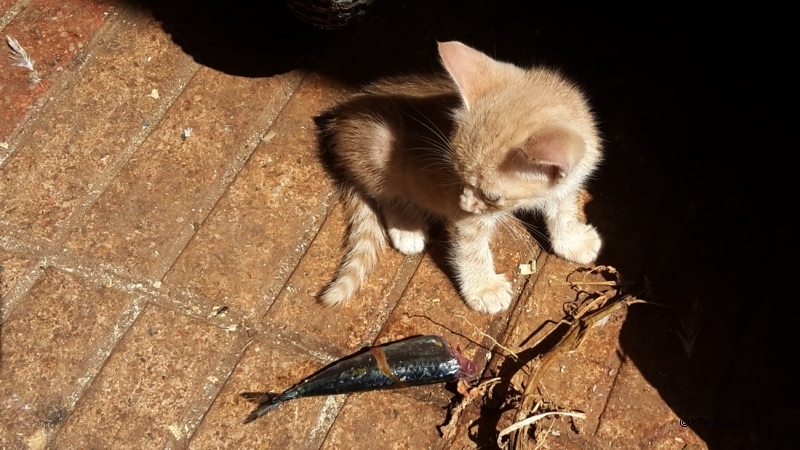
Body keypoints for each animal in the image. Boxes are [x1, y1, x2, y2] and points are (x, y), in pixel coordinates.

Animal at [317, 41, 602, 314]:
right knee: (388, 194)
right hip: (379, 148)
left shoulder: (566, 187)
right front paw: (484, 289)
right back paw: (406, 227)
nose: (462, 203)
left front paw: (572, 241)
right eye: (456, 172)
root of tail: (337, 121)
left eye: (491, 196)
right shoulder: (467, 220)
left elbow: (563, 212)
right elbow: (471, 250)